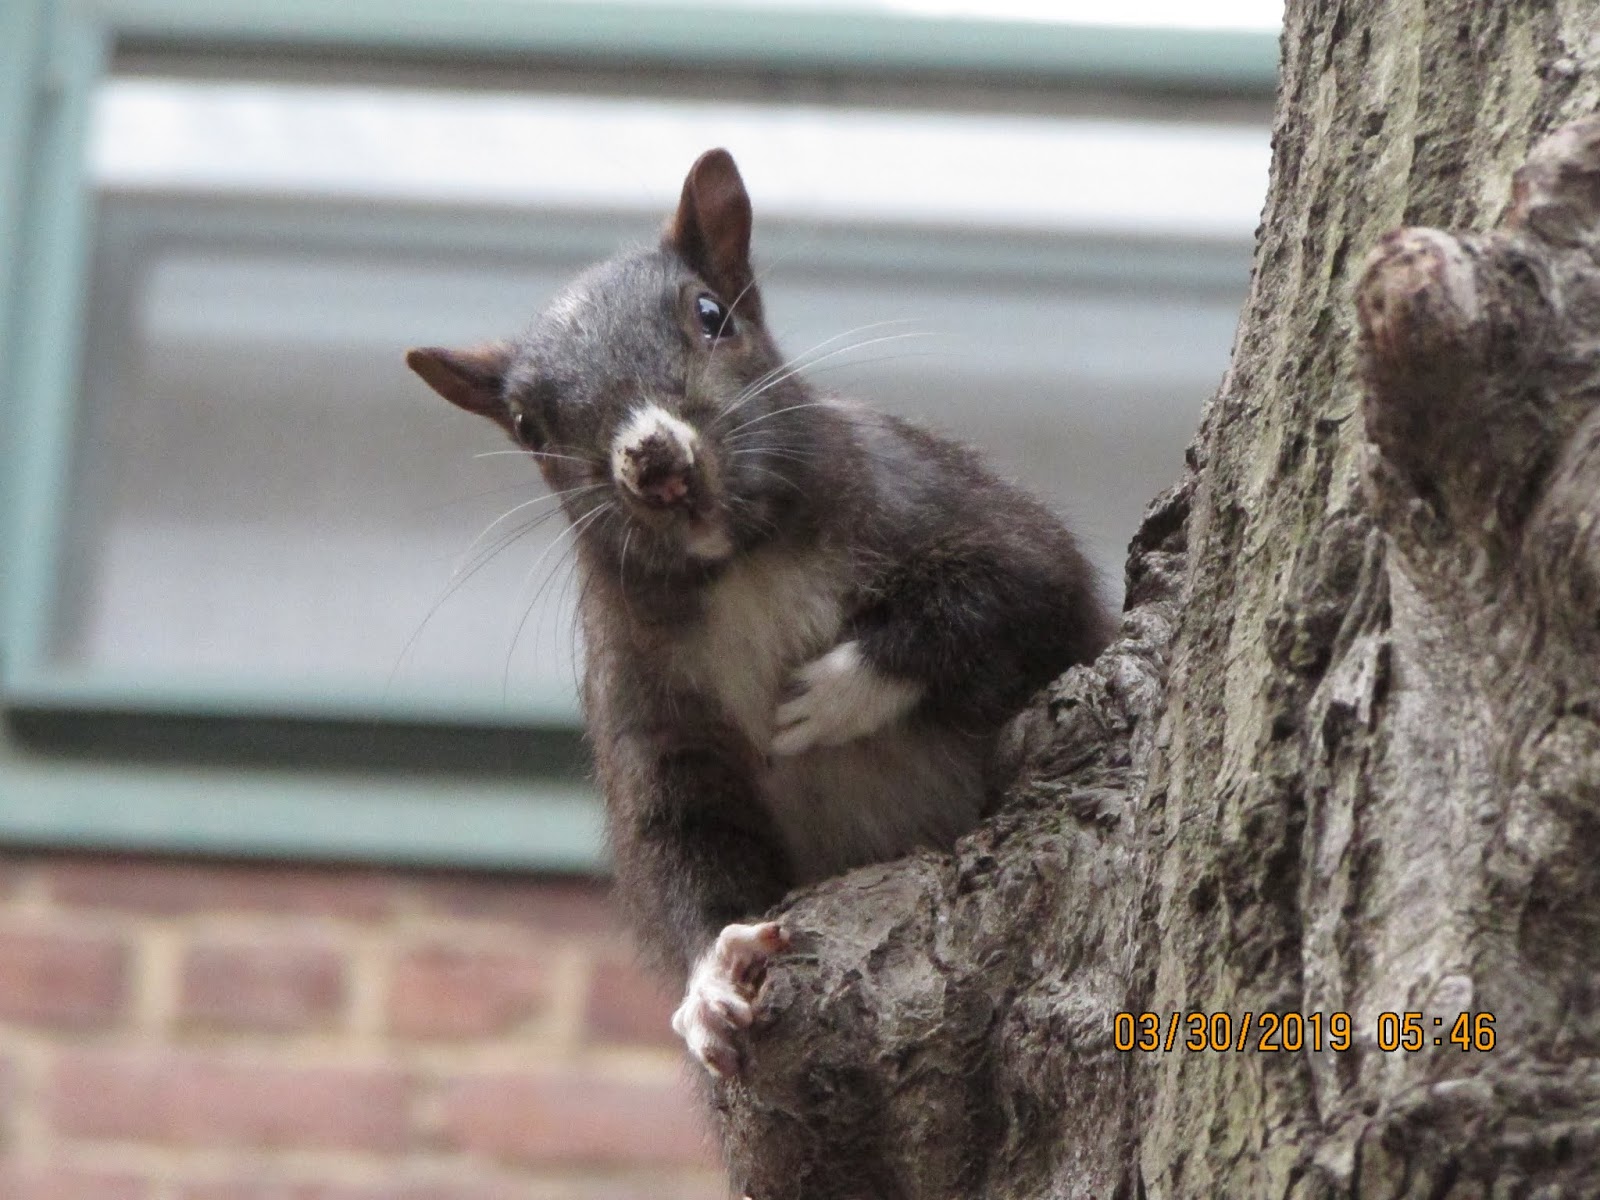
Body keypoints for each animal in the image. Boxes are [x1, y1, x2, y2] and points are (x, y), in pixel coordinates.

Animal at [407, 148, 1112, 1078]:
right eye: (528, 424)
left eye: (712, 314)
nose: (653, 460)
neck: (740, 568)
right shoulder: (654, 722)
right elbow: (681, 843)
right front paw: (710, 982)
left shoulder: (958, 509)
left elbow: (1012, 593)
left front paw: (834, 693)